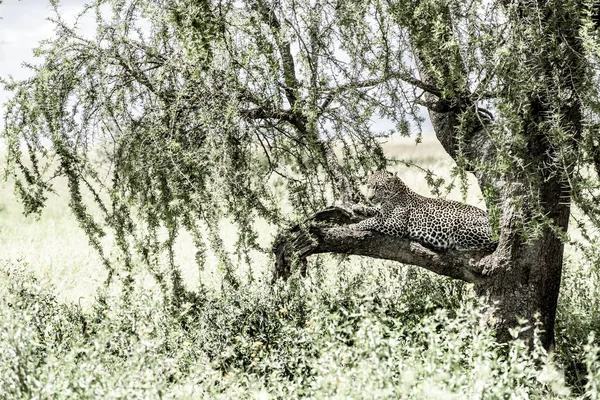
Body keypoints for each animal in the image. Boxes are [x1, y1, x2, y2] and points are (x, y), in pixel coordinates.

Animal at [356, 170, 496, 252]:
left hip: (461, 227)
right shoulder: (384, 212)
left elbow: (373, 221)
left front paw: (356, 225)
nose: (369, 197)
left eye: (378, 187)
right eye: (368, 186)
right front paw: (359, 207)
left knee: (487, 245)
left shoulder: (397, 224)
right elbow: (376, 211)